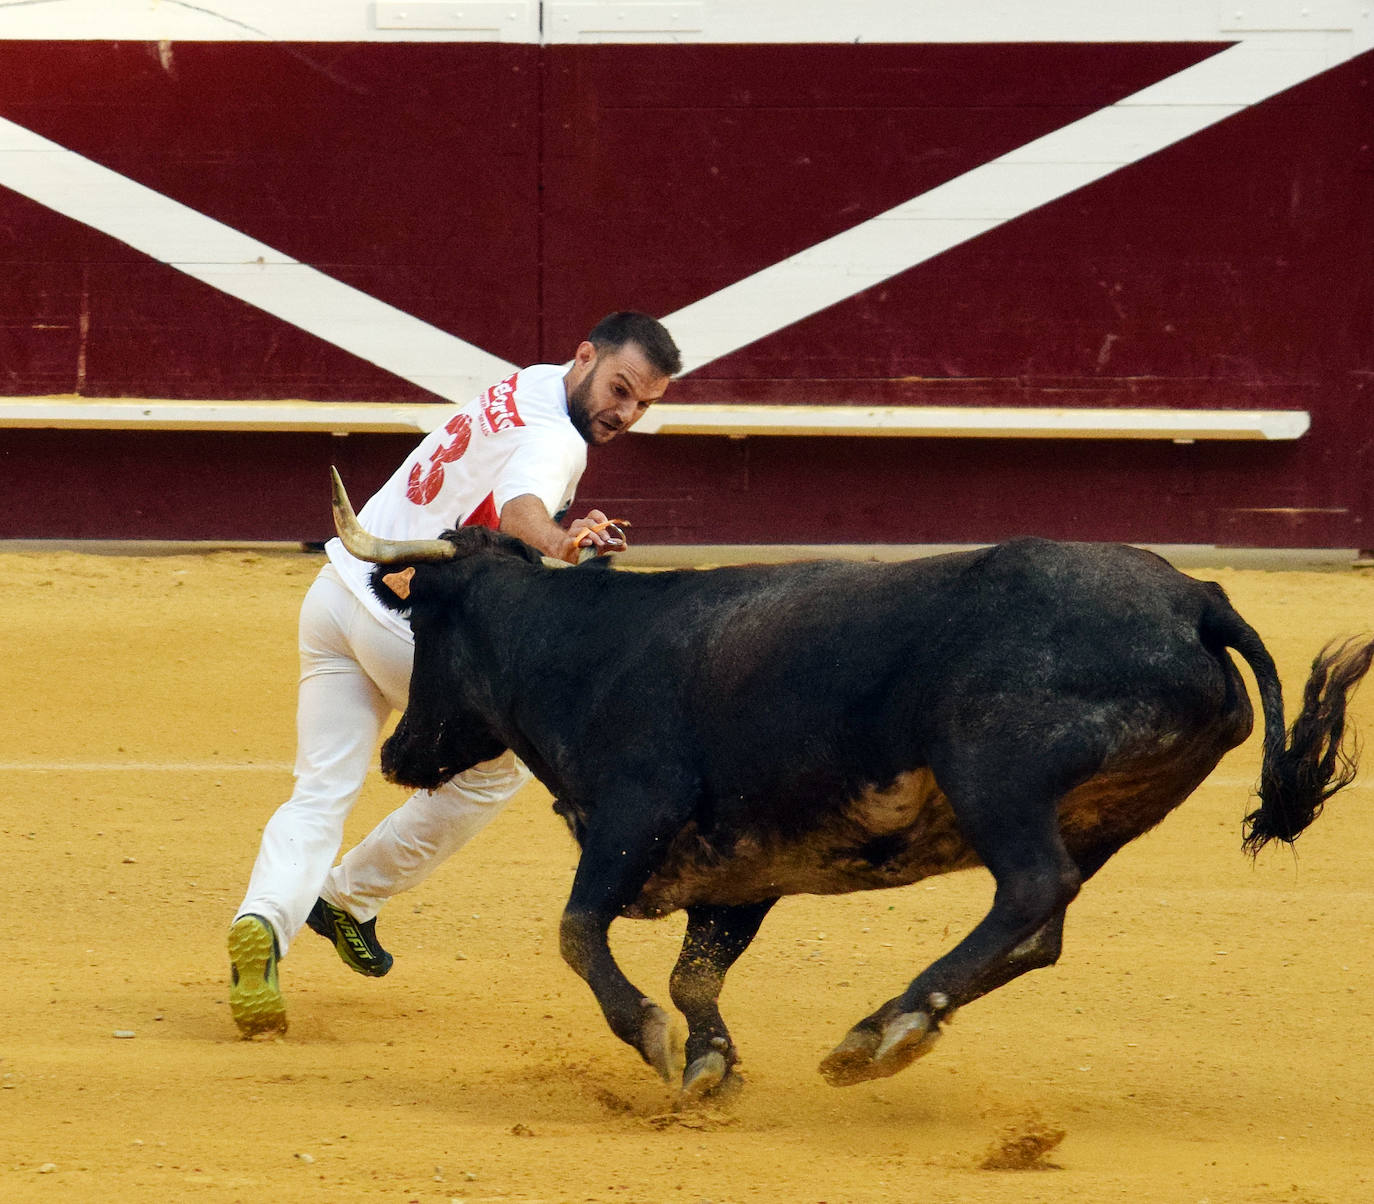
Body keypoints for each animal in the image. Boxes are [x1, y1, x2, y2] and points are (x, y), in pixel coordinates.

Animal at [329, 467, 1374, 1099]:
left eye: (426, 620)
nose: (399, 756)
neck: (580, 649)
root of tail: (1199, 599)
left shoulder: (636, 814)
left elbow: (580, 931)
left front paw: (658, 1041)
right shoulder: (740, 872)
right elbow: (694, 969)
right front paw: (711, 1064)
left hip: (996, 772)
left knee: (1031, 889)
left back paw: (885, 1029)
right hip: (1104, 814)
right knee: (1041, 927)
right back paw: (887, 1030)